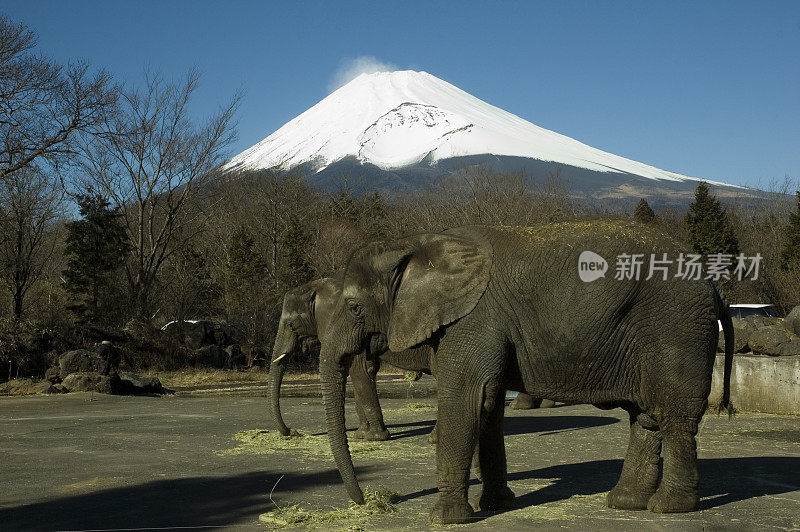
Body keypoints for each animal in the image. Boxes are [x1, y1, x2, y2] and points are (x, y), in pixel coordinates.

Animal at [318, 221, 732, 524]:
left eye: (354, 307)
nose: (367, 500)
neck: (420, 241)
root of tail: (713, 285)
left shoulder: (474, 319)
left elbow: (465, 398)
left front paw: (445, 519)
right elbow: (487, 406)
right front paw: (497, 505)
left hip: (677, 329)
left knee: (673, 416)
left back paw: (668, 508)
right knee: (645, 417)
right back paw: (624, 503)